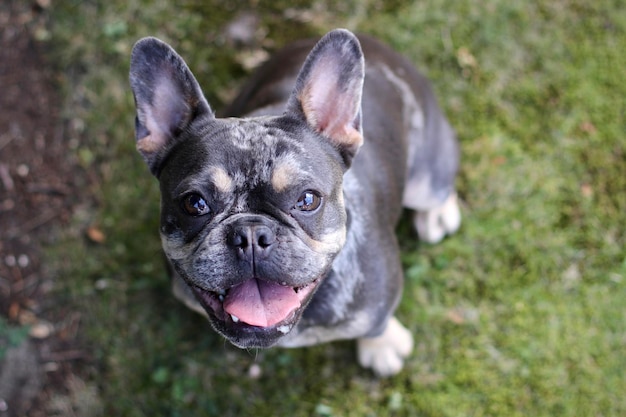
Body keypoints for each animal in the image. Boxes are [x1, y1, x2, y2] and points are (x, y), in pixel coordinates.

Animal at [128, 27, 458, 376]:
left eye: (308, 199)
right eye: (195, 203)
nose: (251, 234)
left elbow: (376, 325)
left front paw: (382, 345)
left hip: (426, 180)